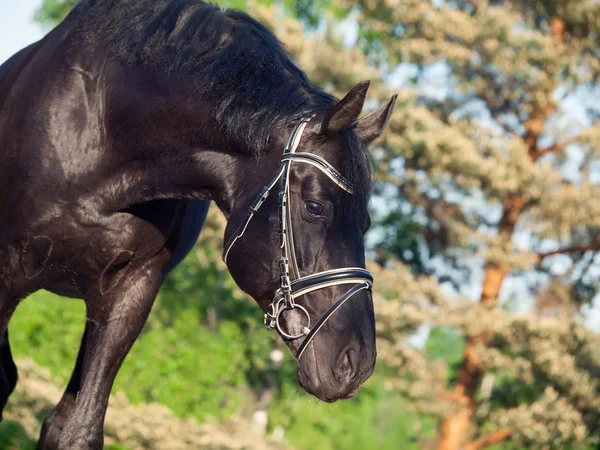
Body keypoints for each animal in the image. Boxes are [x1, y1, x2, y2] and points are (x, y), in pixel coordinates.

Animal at [1, 0, 398, 446]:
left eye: (365, 221)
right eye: (315, 207)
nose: (357, 362)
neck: (102, 128)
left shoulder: (130, 293)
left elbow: (77, 430)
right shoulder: (8, 269)